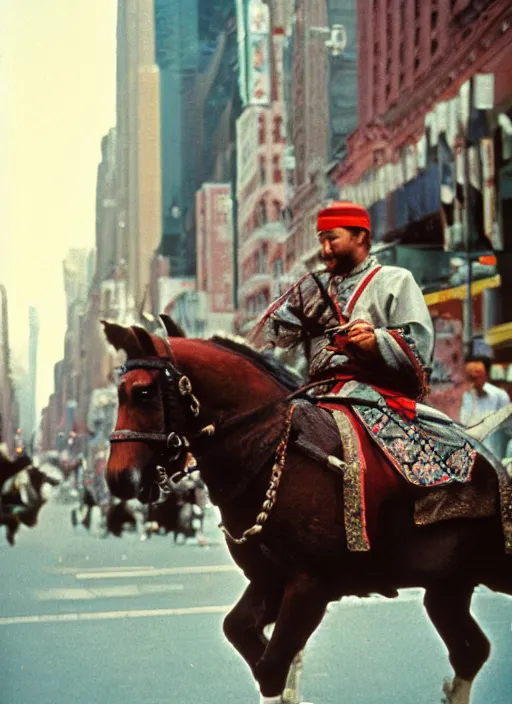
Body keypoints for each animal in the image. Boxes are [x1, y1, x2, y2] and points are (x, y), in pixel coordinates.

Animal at [103, 320, 512, 704]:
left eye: (142, 392)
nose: (118, 478)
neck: (272, 451)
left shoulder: (310, 586)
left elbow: (272, 665)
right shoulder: (269, 579)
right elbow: (245, 638)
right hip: (448, 586)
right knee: (470, 652)